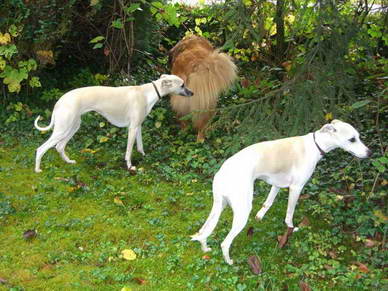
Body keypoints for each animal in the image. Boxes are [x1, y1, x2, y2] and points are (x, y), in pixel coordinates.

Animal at [33, 74, 192, 173]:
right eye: (182, 85)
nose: (192, 93)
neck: (147, 93)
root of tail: (59, 101)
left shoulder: (138, 126)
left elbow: (140, 146)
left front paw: (144, 156)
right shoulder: (132, 128)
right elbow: (128, 152)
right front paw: (130, 166)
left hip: (73, 126)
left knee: (59, 146)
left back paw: (68, 162)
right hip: (63, 128)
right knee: (41, 149)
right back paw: (37, 169)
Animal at [192, 120, 372, 266]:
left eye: (359, 136)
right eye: (352, 139)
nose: (370, 153)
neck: (314, 145)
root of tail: (220, 175)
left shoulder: (276, 185)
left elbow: (268, 203)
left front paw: (260, 217)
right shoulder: (296, 188)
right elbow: (289, 215)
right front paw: (291, 229)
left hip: (219, 207)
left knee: (203, 232)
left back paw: (205, 249)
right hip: (242, 210)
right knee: (225, 243)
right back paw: (229, 261)